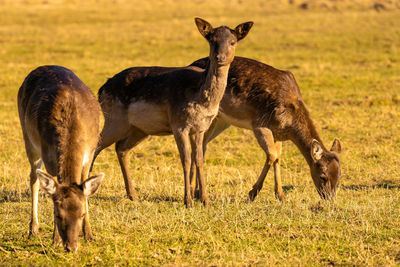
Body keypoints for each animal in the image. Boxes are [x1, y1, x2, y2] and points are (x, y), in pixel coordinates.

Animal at [17, 65, 104, 253]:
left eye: (82, 214)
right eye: (57, 214)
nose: (71, 246)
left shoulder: (90, 152)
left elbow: (85, 187)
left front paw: (89, 235)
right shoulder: (48, 155)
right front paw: (55, 240)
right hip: (28, 137)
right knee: (34, 178)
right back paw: (33, 229)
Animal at [92, 18, 252, 209]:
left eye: (233, 42)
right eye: (212, 40)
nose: (220, 57)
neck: (201, 99)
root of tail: (101, 89)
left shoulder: (200, 128)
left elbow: (199, 159)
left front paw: (205, 200)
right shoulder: (178, 124)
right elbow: (186, 159)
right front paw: (188, 200)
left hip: (139, 129)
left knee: (121, 148)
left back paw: (133, 195)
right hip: (115, 120)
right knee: (97, 144)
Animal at [189, 57, 342, 203]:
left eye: (339, 176)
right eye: (323, 176)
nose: (329, 198)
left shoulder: (277, 133)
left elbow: (278, 157)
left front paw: (281, 196)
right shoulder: (260, 124)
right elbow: (272, 155)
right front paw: (252, 193)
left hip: (221, 120)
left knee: (202, 145)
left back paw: (196, 192)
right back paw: (194, 192)